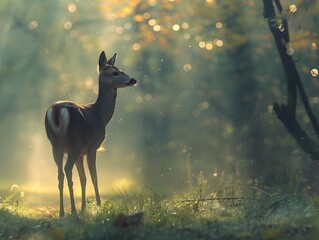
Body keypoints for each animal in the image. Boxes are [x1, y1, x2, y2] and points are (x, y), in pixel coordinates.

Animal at [44, 51, 137, 217]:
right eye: (115, 72)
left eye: (120, 69)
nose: (133, 79)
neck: (100, 115)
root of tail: (56, 111)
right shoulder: (92, 147)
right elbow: (94, 176)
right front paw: (99, 206)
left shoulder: (81, 153)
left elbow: (84, 178)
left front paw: (84, 208)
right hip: (74, 141)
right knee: (67, 169)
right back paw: (72, 211)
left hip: (55, 144)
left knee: (60, 173)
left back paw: (62, 213)